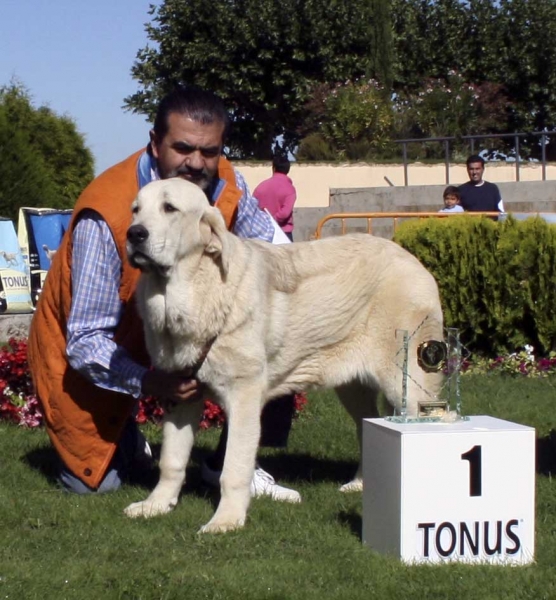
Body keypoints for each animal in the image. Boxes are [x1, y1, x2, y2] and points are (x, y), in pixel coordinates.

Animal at [125, 177, 444, 528]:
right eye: (136, 210)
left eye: (169, 208)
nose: (134, 234)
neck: (195, 288)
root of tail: (410, 258)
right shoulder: (181, 395)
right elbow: (172, 460)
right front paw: (156, 504)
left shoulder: (243, 395)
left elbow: (233, 468)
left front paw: (226, 521)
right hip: (354, 387)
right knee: (368, 424)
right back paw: (360, 483)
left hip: (408, 381)